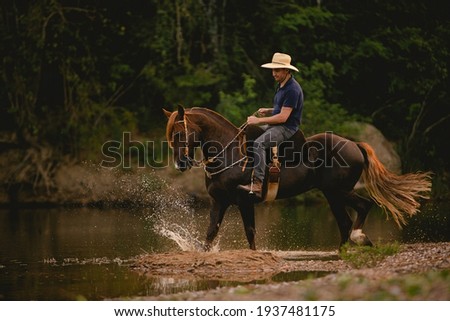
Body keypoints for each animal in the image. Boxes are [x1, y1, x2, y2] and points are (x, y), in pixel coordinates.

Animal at [163, 105, 430, 250]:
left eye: (179, 133)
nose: (180, 163)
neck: (231, 153)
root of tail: (354, 144)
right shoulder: (219, 201)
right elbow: (210, 233)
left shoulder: (245, 201)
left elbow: (250, 232)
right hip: (333, 194)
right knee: (345, 221)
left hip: (339, 191)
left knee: (363, 207)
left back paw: (358, 238)